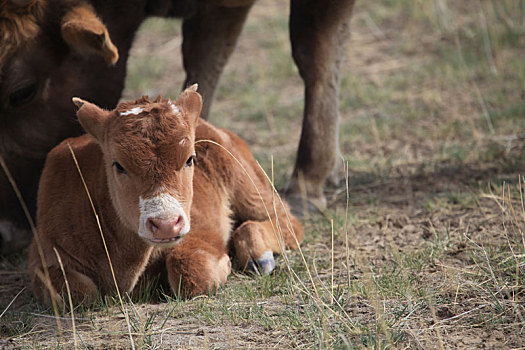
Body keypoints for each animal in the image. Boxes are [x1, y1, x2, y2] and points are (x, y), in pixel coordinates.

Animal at [28, 86, 300, 304]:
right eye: (118, 165)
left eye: (190, 159)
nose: (166, 224)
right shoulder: (44, 254)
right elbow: (76, 292)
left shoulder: (200, 232)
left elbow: (190, 269)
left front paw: (225, 263)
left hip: (250, 187)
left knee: (287, 221)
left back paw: (259, 256)